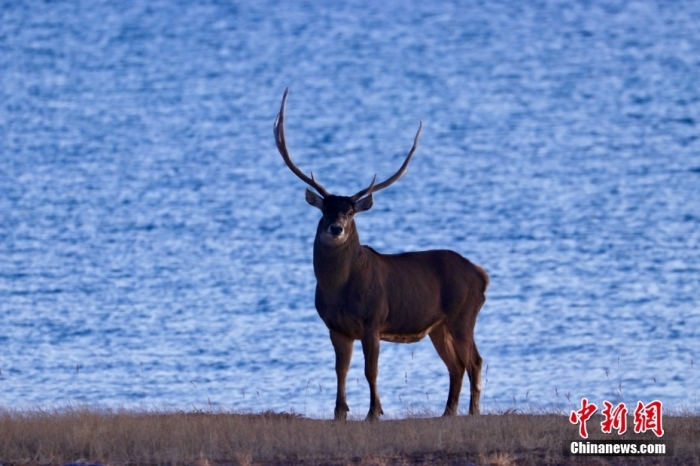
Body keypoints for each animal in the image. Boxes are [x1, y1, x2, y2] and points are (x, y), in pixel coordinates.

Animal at [273, 88, 489, 421]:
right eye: (325, 209)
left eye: (350, 212)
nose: (336, 228)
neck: (339, 291)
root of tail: (481, 274)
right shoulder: (335, 327)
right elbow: (341, 370)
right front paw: (340, 412)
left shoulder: (373, 319)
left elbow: (370, 370)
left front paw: (374, 412)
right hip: (438, 326)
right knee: (455, 365)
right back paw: (448, 412)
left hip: (463, 313)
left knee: (474, 361)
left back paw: (473, 412)